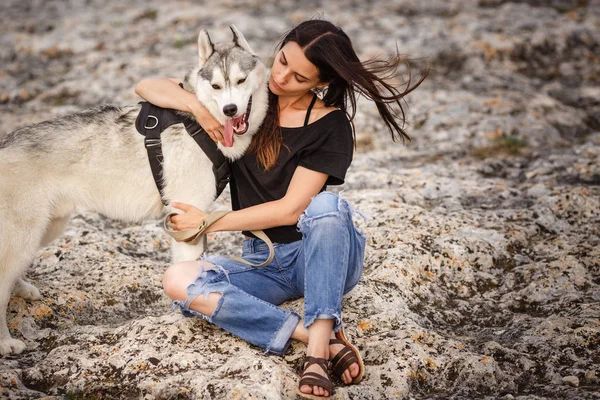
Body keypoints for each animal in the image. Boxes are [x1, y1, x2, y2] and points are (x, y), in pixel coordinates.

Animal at [0, 26, 268, 354]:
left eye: (240, 80)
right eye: (216, 86)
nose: (230, 110)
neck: (201, 125)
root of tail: (4, 143)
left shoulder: (198, 220)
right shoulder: (185, 218)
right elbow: (189, 271)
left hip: (47, 229)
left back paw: (23, 289)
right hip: (24, 235)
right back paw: (5, 341)